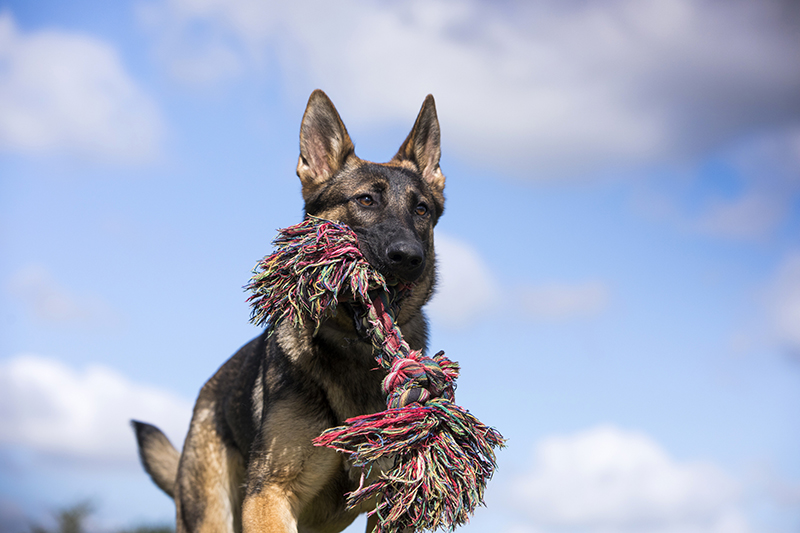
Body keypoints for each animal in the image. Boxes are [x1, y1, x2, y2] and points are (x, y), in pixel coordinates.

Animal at [134, 90, 446, 532]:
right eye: (365, 200)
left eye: (421, 211)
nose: (408, 257)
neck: (354, 350)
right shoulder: (269, 493)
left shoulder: (393, 508)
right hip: (212, 513)